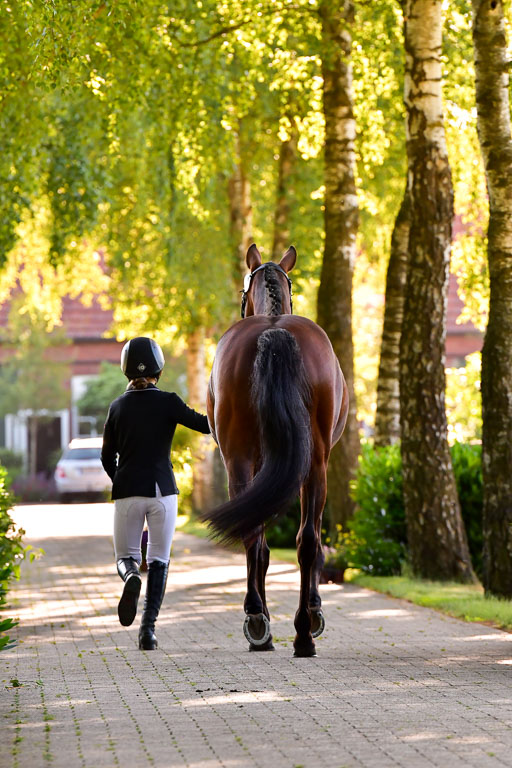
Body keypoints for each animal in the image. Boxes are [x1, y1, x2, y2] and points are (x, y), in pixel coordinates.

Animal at [203, 244, 348, 657]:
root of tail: (275, 332)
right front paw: (310, 613)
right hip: (313, 463)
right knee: (306, 540)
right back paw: (301, 633)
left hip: (241, 459)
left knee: (263, 535)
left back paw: (261, 622)